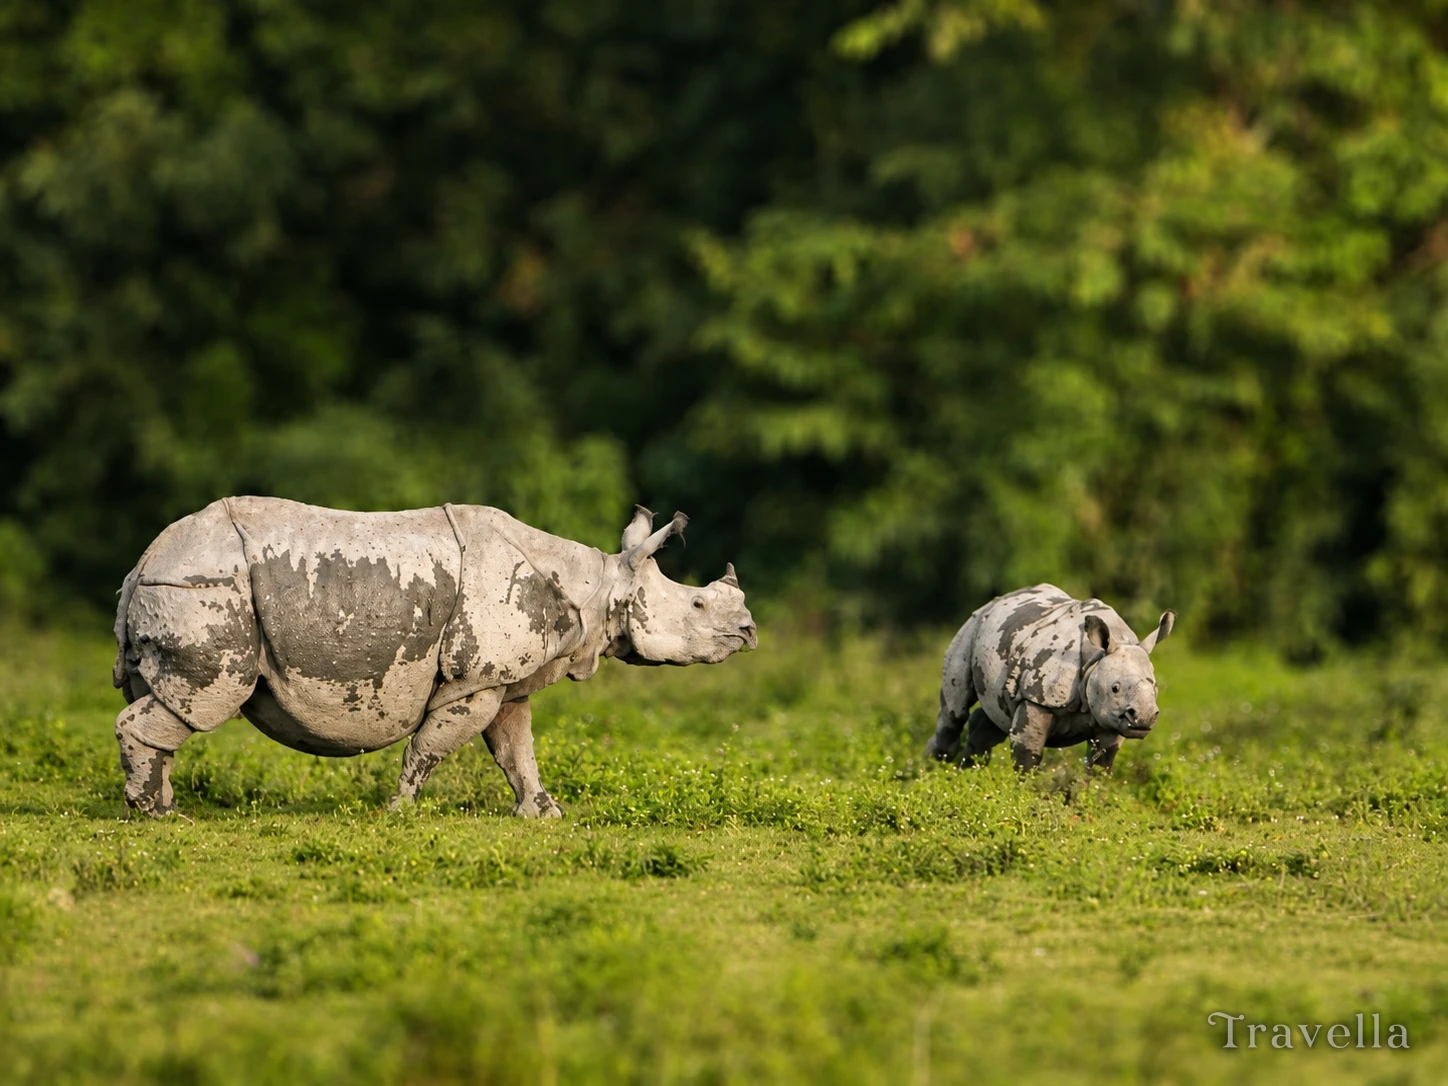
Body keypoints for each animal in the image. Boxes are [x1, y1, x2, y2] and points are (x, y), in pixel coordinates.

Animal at [112, 497, 757, 817]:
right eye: (698, 604)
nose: (749, 631)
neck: (598, 587)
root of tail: (143, 560)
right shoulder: (475, 679)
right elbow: (432, 745)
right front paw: (398, 811)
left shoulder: (501, 676)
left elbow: (516, 749)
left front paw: (544, 814)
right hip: (205, 587)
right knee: (206, 697)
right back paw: (157, 817)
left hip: (181, 584)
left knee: (165, 700)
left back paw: (163, 807)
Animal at [926, 584, 1173, 773]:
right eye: (1115, 688)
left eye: (1155, 687)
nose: (1144, 717)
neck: (1095, 658)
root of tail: (998, 600)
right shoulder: (1038, 698)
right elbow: (1028, 756)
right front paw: (1023, 793)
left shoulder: (1113, 720)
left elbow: (1100, 765)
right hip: (972, 626)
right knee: (954, 712)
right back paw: (934, 770)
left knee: (995, 717)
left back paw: (968, 773)